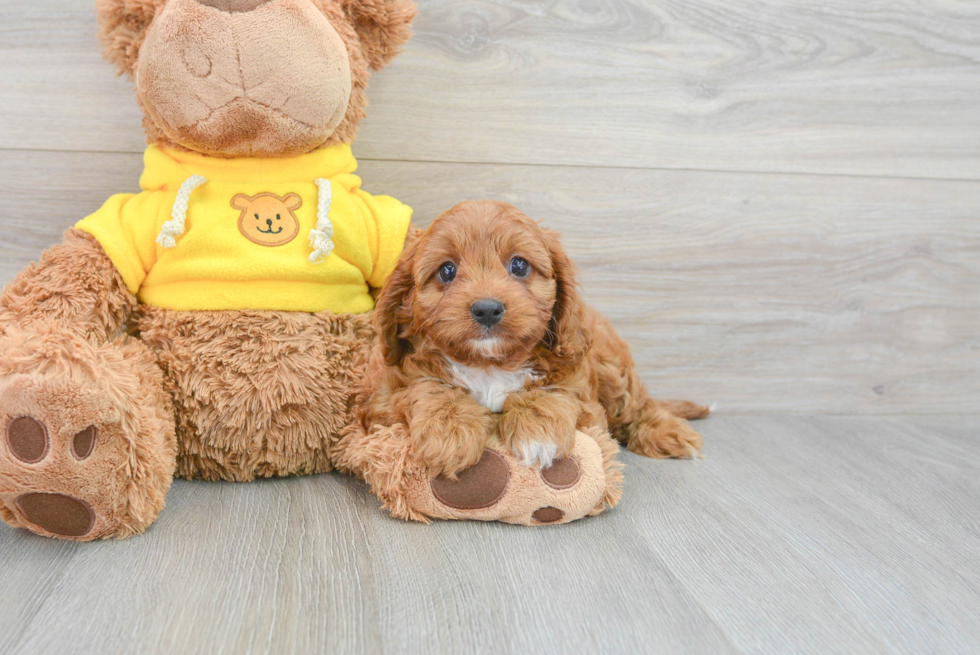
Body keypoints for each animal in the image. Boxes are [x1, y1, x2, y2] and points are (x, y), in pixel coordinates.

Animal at [356, 200, 708, 476]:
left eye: (519, 266)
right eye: (446, 271)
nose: (487, 309)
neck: (489, 364)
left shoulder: (580, 388)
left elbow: (552, 393)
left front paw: (538, 434)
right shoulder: (387, 396)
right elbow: (427, 387)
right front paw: (448, 434)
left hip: (613, 369)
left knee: (638, 405)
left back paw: (669, 433)